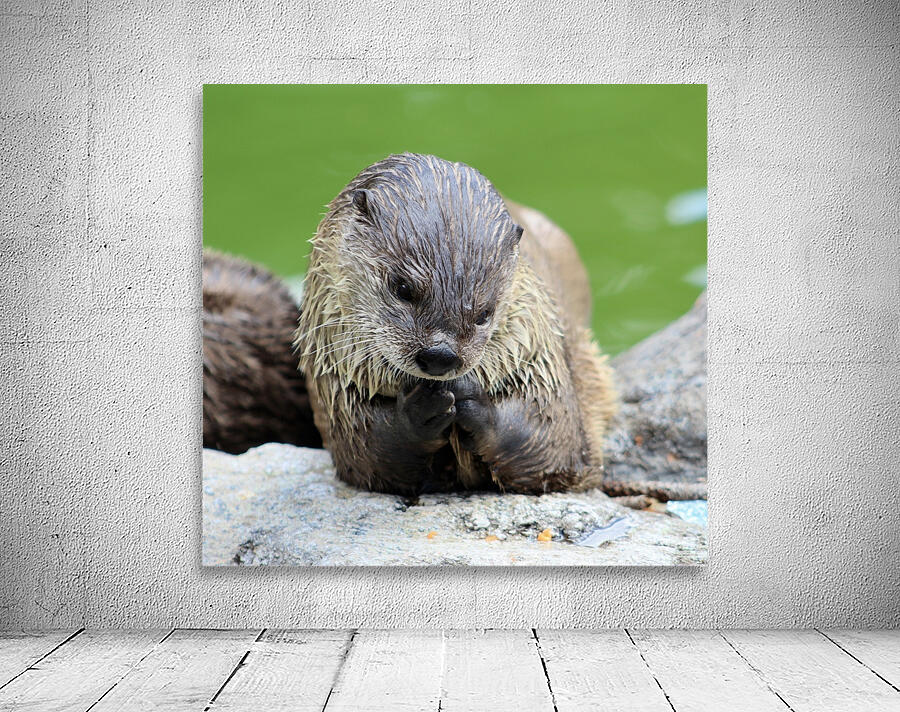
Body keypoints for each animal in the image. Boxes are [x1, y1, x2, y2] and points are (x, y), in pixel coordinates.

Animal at [295, 153, 618, 497]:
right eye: (402, 288)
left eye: (485, 313)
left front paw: (471, 401)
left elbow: (552, 445)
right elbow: (369, 452)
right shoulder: (337, 385)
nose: (440, 355)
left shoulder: (538, 360)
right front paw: (419, 412)